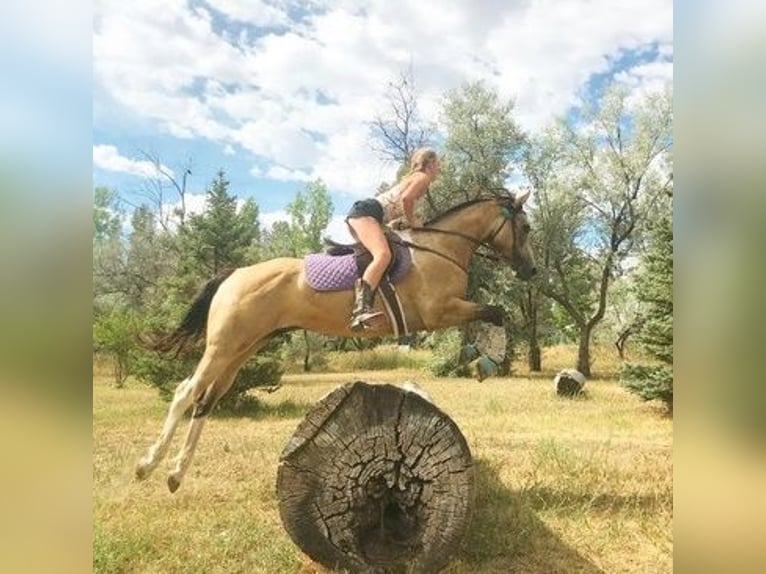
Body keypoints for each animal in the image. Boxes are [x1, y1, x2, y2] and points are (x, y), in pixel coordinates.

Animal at [134, 190, 540, 496]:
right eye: (525, 227)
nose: (532, 271)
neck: (440, 249)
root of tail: (236, 273)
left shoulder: (450, 311)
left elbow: (490, 317)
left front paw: (478, 356)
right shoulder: (440, 311)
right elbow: (498, 313)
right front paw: (488, 361)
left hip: (242, 349)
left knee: (206, 400)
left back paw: (176, 474)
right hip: (223, 346)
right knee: (185, 392)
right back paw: (148, 464)